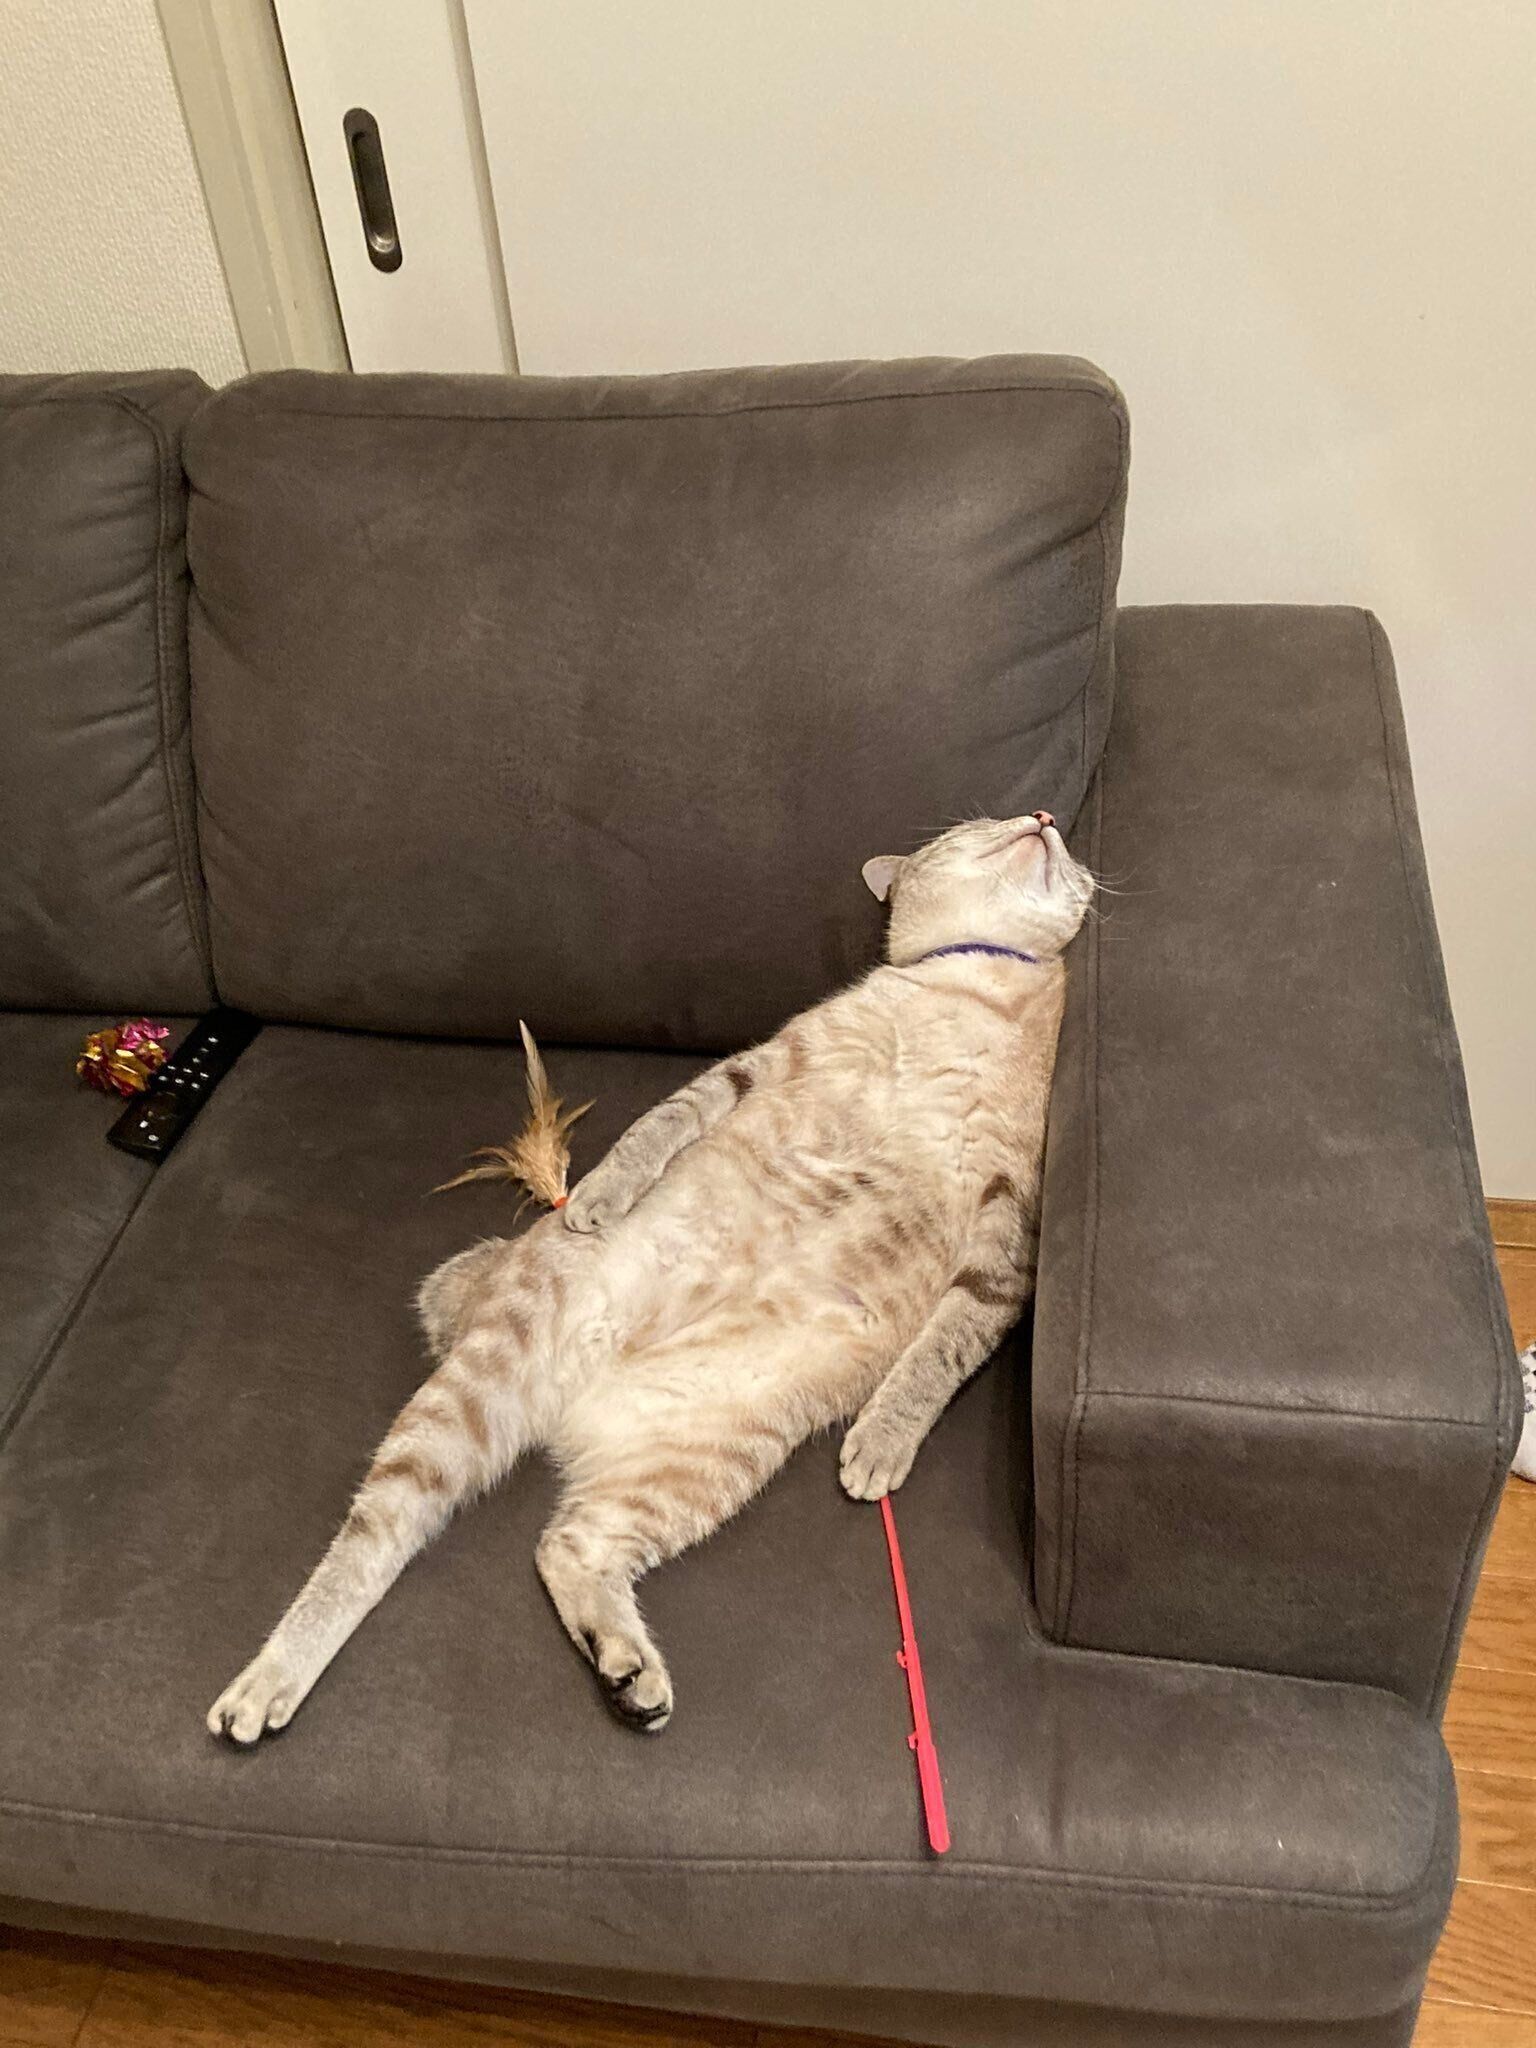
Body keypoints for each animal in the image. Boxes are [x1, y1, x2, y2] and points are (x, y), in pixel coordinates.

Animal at [208, 811, 1095, 1741]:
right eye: (980, 822)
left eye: (1060, 844)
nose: (1043, 817)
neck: (983, 987)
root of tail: (573, 1394)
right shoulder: (764, 1061)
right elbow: (663, 1123)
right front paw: (601, 1194)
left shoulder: (1013, 1219)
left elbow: (945, 1346)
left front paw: (882, 1442)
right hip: (472, 1402)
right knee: (370, 1544)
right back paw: (267, 1682)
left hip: (694, 1463)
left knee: (565, 1545)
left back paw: (628, 1671)